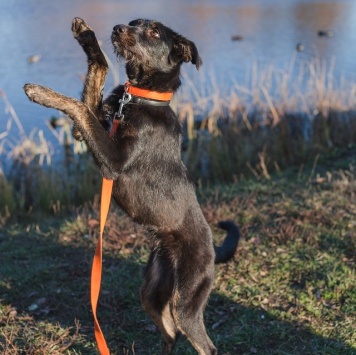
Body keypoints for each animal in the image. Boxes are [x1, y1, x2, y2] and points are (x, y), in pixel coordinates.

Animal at [23, 18, 241, 354]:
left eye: (153, 32)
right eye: (134, 23)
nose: (116, 28)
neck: (138, 97)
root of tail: (213, 250)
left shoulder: (112, 161)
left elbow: (79, 107)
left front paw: (40, 92)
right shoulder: (82, 133)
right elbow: (97, 74)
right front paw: (87, 36)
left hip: (186, 300)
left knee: (205, 345)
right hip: (152, 291)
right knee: (170, 333)